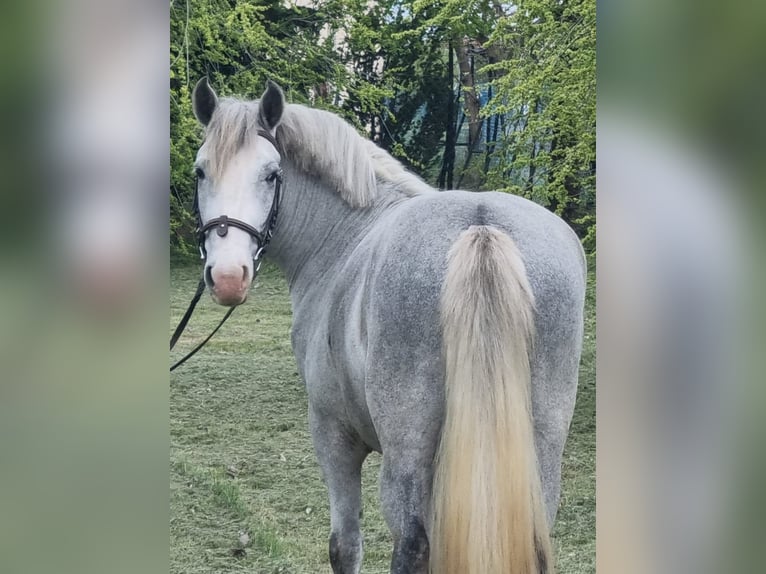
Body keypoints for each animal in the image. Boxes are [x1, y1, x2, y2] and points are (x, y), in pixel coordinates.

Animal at [188, 77, 586, 574]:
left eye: (271, 174)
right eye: (201, 172)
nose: (228, 276)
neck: (345, 235)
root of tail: (481, 226)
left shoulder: (334, 436)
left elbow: (345, 546)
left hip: (406, 457)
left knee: (411, 544)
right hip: (540, 455)